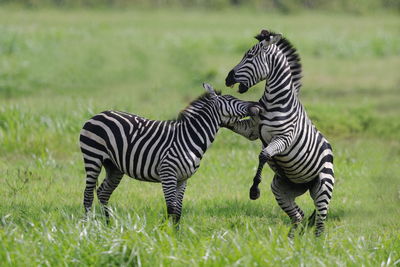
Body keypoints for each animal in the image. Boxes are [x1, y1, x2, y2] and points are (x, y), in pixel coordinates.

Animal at [79, 83, 260, 224]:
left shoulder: (183, 179)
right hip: (93, 157)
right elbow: (171, 208)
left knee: (103, 192)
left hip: (114, 167)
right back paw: (89, 228)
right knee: (88, 195)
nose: (257, 105)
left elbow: (178, 210)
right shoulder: (168, 174)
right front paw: (166, 234)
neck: (190, 137)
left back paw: (108, 225)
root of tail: (98, 114)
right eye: (231, 99)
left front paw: (176, 235)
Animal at [225, 29, 334, 239]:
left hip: (323, 186)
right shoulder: (252, 130)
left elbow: (264, 154)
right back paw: (290, 242)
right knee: (298, 216)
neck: (275, 100)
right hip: (281, 189)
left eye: (249, 56)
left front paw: (254, 189)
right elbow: (233, 124)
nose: (228, 79)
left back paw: (316, 245)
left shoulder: (284, 138)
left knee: (320, 223)